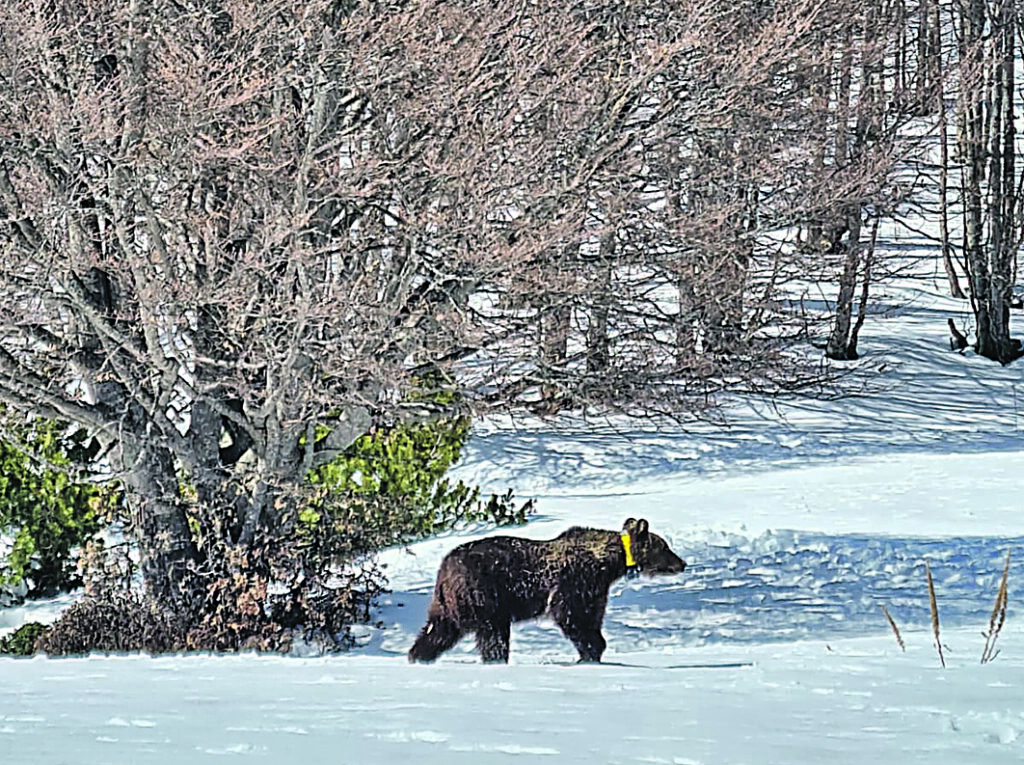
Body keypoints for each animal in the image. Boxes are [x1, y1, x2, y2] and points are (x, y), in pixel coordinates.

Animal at [407, 520, 688, 663]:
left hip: (449, 604)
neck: (611, 562)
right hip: (485, 595)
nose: (682, 563)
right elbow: (573, 615)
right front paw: (591, 651)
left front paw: (593, 652)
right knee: (492, 633)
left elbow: (591, 616)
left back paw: (417, 656)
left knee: (438, 631)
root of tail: (445, 567)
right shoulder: (578, 581)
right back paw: (496, 658)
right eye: (665, 547)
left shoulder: (597, 589)